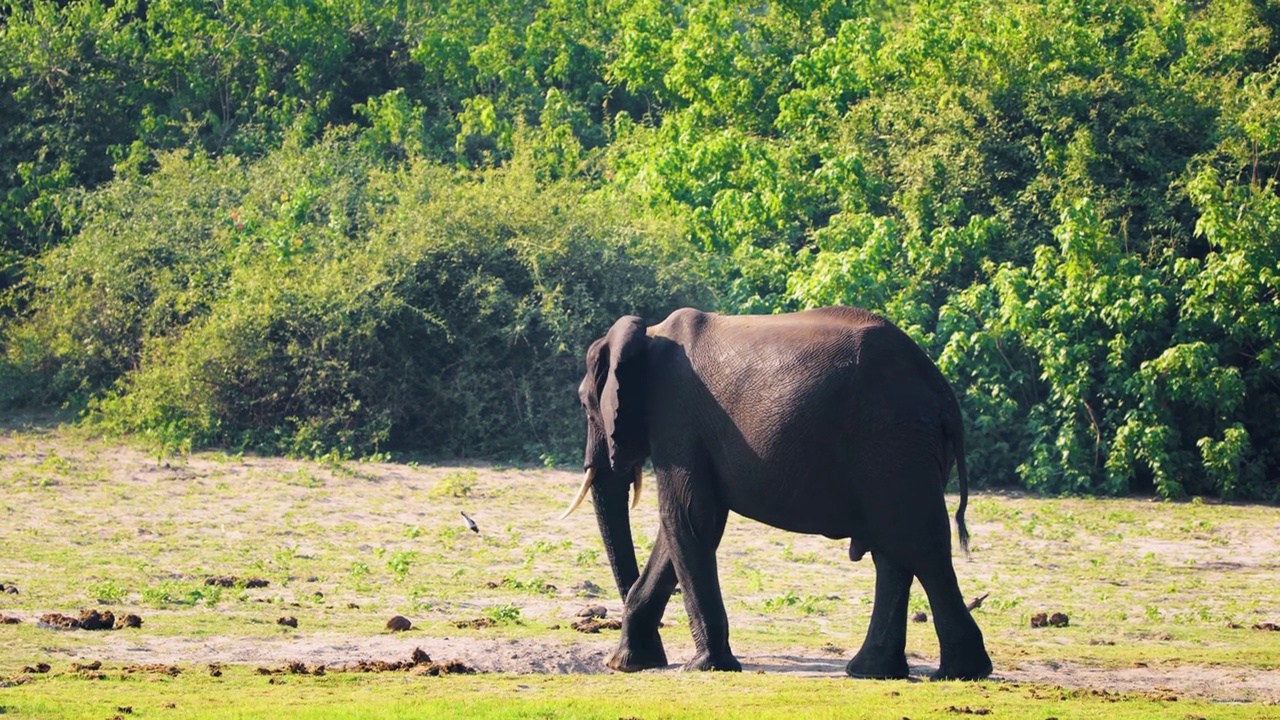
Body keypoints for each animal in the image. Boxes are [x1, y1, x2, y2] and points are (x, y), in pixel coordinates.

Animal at [565, 302, 993, 676]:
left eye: (585, 405)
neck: (647, 336)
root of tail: (945, 396)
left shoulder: (676, 417)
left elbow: (687, 518)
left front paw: (699, 667)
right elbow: (690, 524)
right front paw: (630, 663)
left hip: (892, 441)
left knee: (918, 544)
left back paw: (959, 673)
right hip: (902, 447)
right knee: (895, 552)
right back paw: (875, 672)